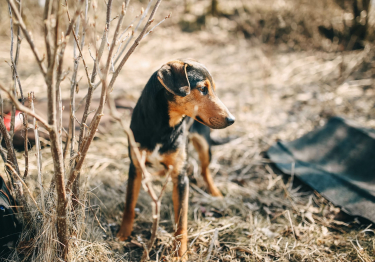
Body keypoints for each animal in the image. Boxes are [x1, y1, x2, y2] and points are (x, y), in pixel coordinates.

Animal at [117, 57, 235, 258]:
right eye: (203, 89)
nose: (231, 119)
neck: (163, 126)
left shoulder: (180, 178)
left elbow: (181, 222)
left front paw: (180, 254)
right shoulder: (136, 167)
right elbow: (129, 204)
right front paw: (123, 234)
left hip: (204, 145)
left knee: (205, 170)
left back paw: (215, 192)